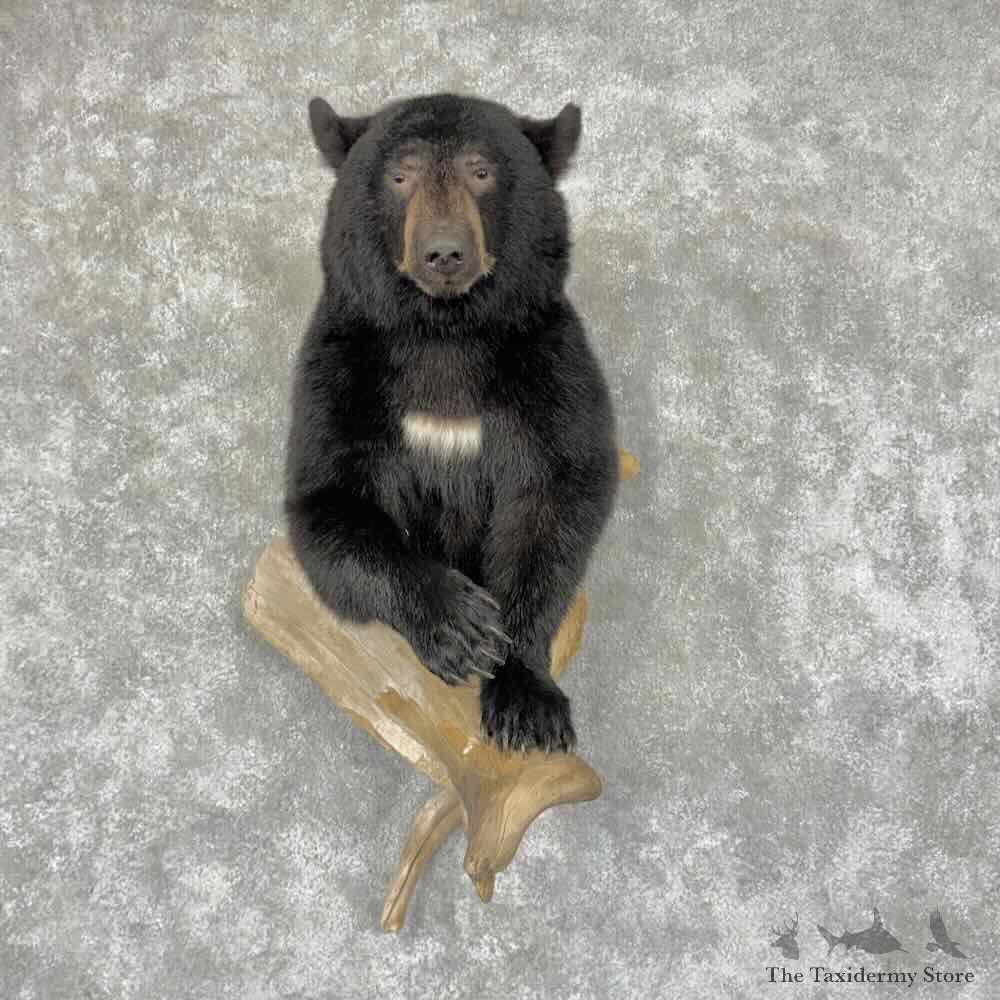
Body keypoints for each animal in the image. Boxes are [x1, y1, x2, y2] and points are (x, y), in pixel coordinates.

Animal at [284, 93, 618, 753]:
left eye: (480, 170)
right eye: (400, 174)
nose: (444, 252)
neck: (445, 334)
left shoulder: (549, 372)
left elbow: (553, 505)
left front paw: (525, 699)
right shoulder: (343, 374)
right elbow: (330, 504)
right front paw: (458, 626)